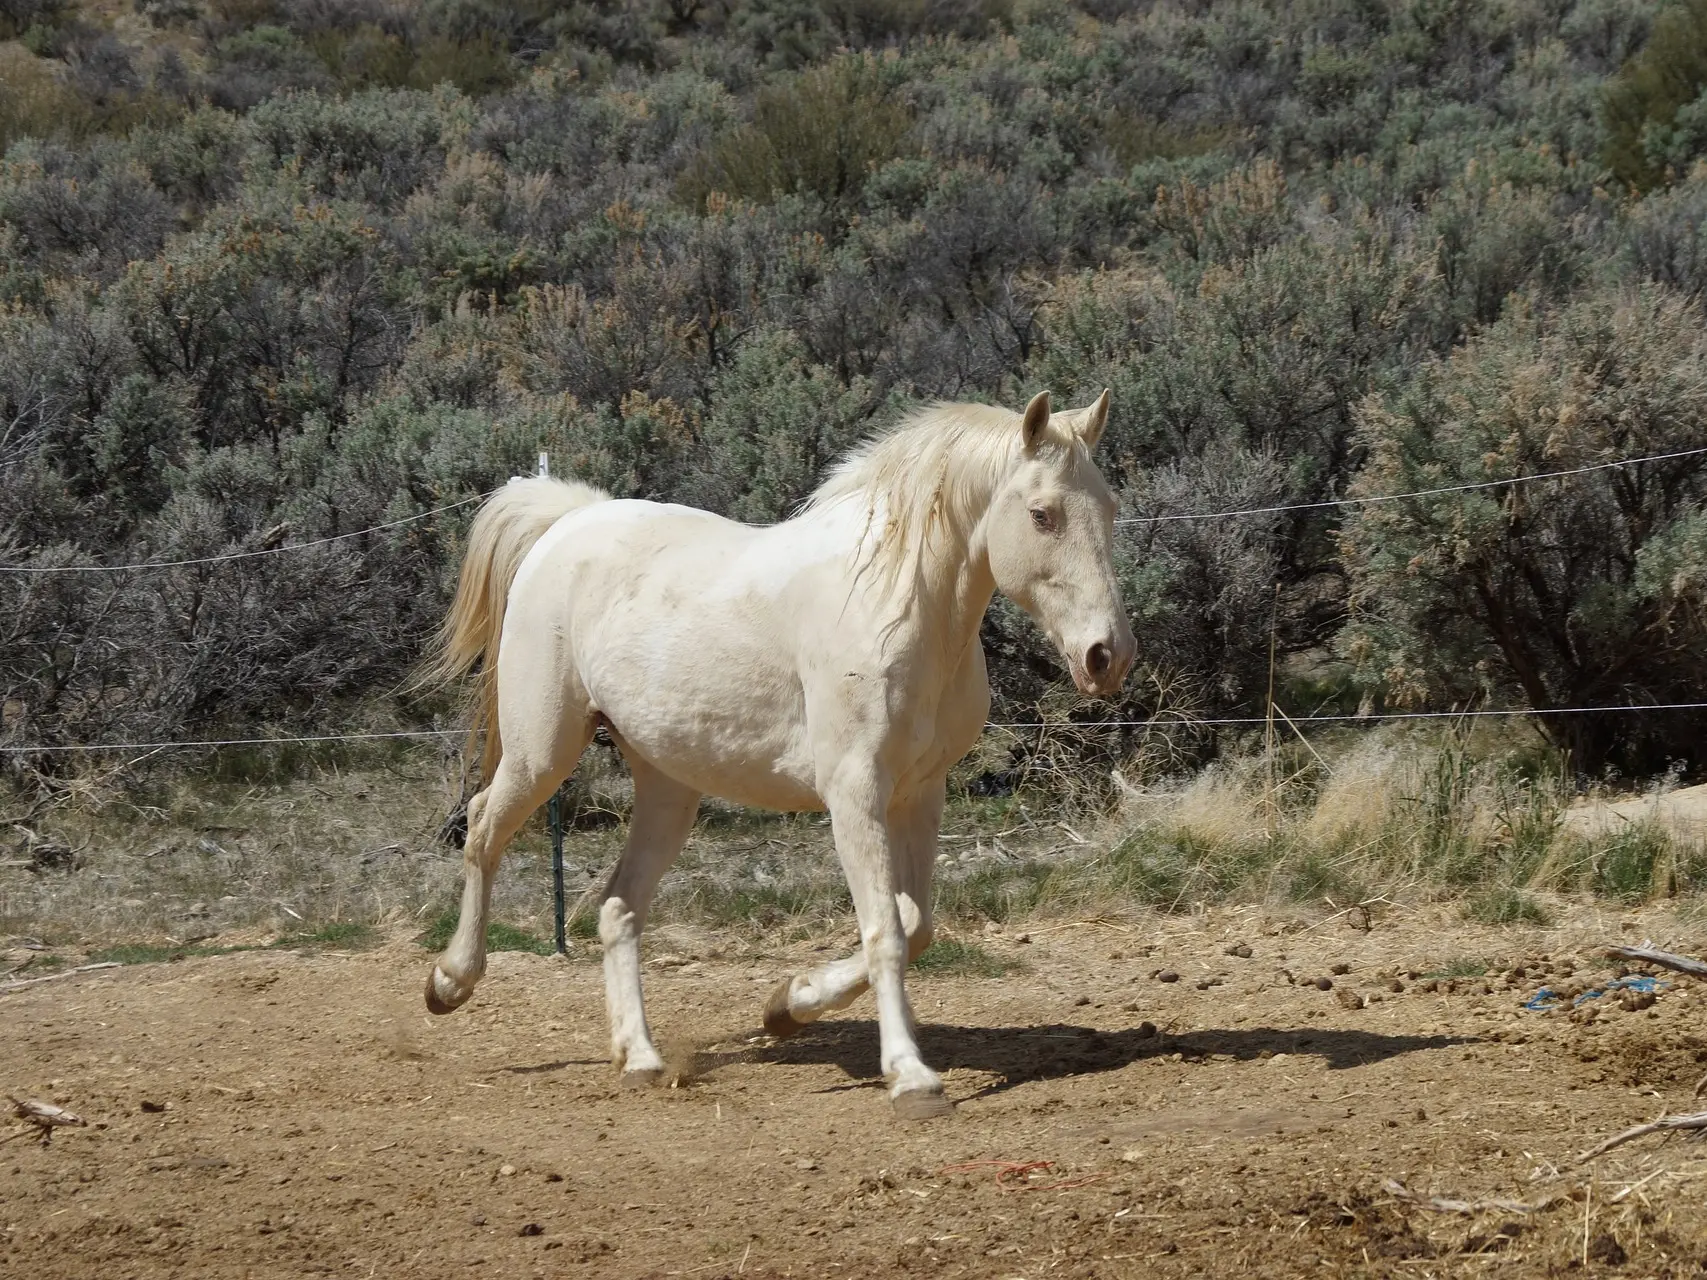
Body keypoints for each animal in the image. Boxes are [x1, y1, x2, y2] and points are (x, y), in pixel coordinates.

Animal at [413, 390, 1133, 1119]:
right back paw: (448, 983)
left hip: (668, 787)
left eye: (1108, 508)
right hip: (542, 751)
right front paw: (910, 1076)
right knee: (483, 829)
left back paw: (640, 1058)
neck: (896, 603)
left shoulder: (920, 793)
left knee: (618, 907)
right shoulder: (854, 793)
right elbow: (886, 932)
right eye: (1041, 514)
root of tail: (569, 519)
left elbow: (915, 924)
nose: (1108, 656)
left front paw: (789, 1005)